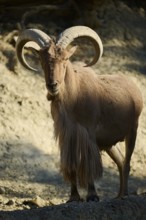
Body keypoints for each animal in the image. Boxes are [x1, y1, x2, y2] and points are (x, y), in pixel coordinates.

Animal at [16, 25, 143, 201]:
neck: (73, 97)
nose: (52, 85)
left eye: (64, 59)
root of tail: (135, 89)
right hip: (110, 143)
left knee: (127, 163)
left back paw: (124, 195)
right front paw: (74, 197)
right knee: (120, 161)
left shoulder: (87, 134)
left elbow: (88, 164)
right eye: (41, 60)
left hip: (132, 131)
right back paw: (118, 195)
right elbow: (72, 165)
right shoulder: (66, 136)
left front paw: (92, 195)